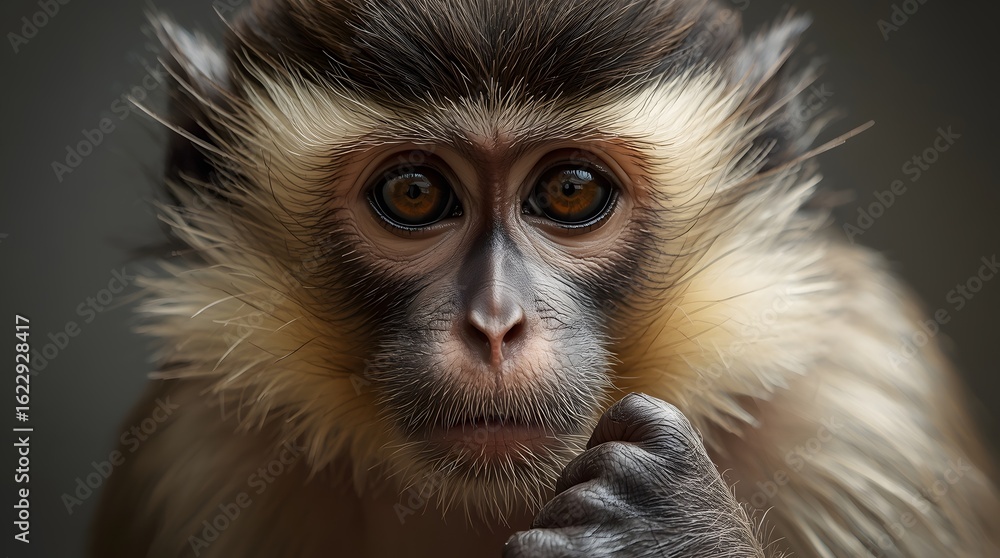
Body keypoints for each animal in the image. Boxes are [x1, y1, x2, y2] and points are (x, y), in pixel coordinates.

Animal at [90, 0, 1000, 556]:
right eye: (414, 194)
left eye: (569, 191)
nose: (495, 325)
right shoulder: (195, 457)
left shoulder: (864, 416)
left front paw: (664, 529)